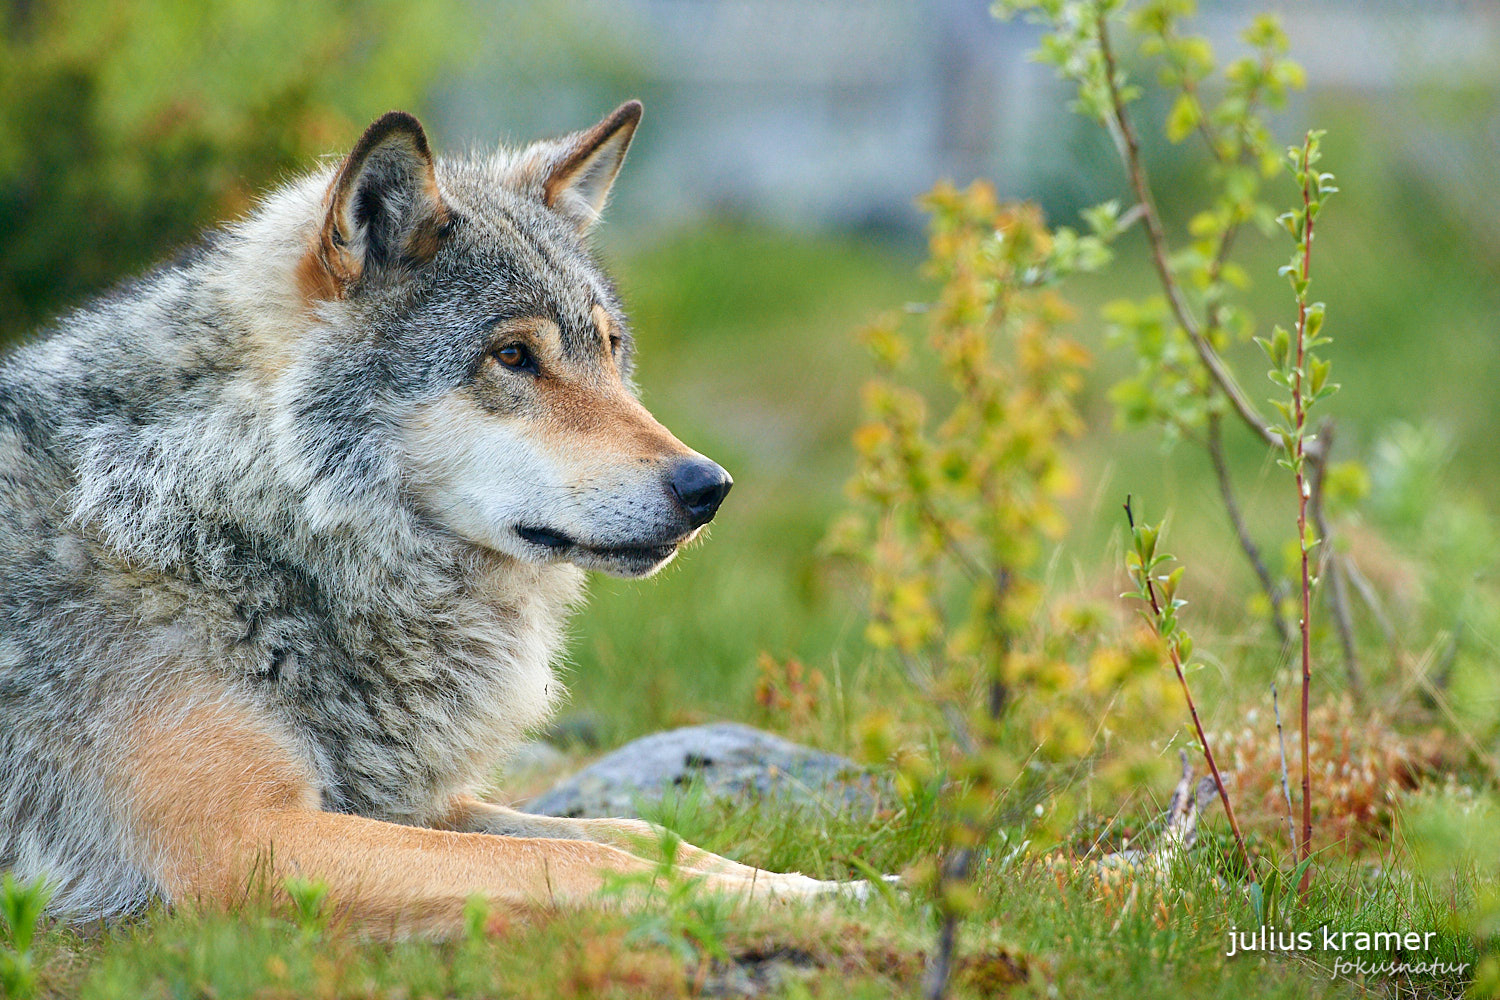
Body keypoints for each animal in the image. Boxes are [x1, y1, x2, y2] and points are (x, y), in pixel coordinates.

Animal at [0, 103, 864, 941]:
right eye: (513, 356)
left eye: (610, 349)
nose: (709, 487)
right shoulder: (246, 840)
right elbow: (577, 861)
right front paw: (826, 906)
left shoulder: (394, 799)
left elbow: (633, 834)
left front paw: (848, 889)